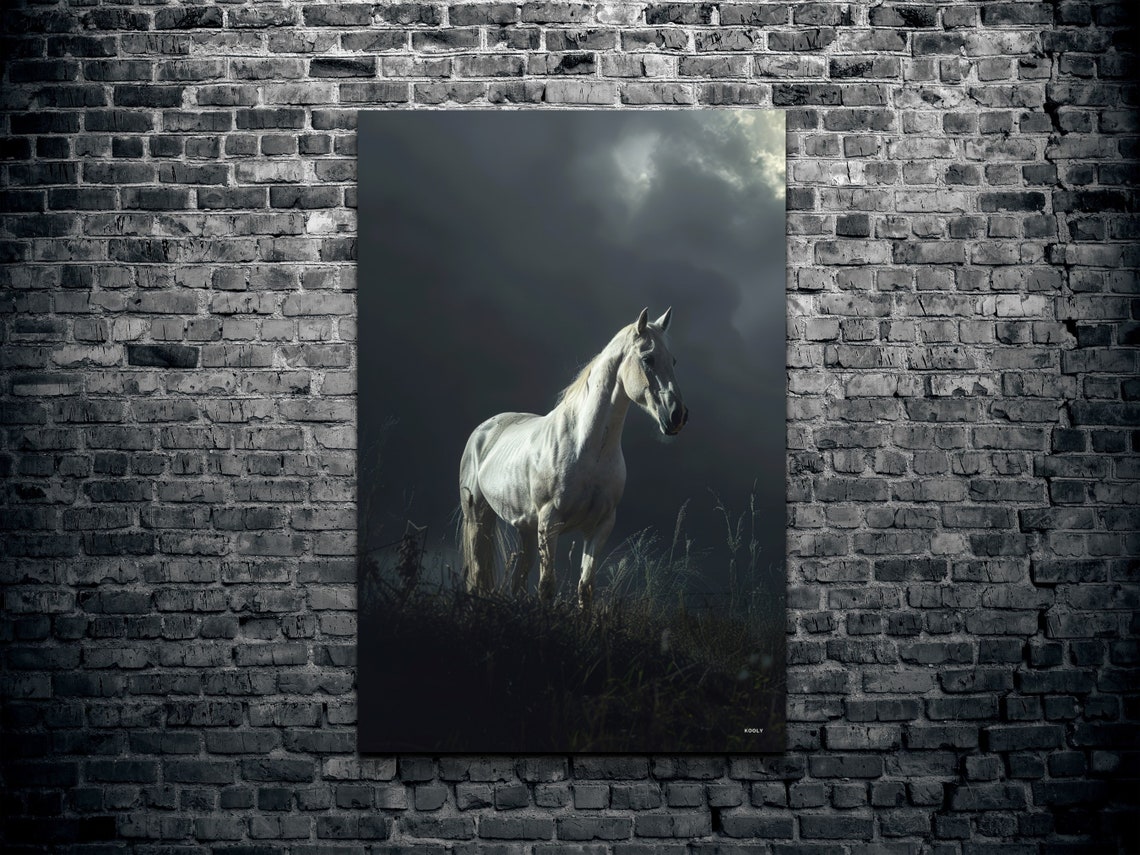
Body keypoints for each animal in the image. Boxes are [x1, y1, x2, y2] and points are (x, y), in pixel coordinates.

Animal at [459, 307, 688, 609]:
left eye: (673, 360)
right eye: (648, 358)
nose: (678, 415)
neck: (587, 447)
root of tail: (483, 430)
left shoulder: (600, 527)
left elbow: (585, 588)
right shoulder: (550, 523)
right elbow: (546, 587)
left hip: (527, 530)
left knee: (516, 583)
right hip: (478, 517)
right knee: (476, 575)